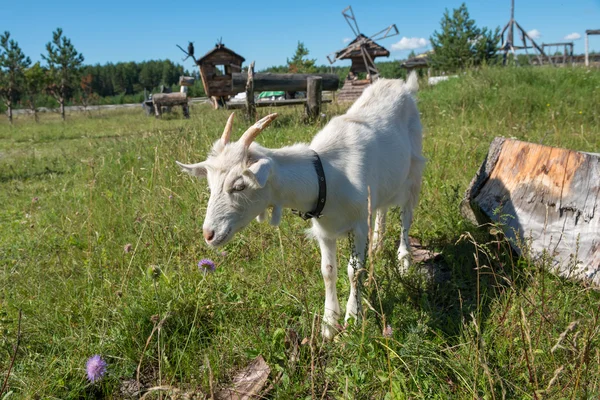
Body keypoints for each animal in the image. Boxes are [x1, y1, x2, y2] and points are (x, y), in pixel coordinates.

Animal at [176, 72, 424, 340]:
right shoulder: (325, 230)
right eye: (210, 185)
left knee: (406, 217)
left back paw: (404, 261)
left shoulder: (357, 226)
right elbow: (328, 270)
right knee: (382, 209)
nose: (208, 234)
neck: (327, 176)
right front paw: (328, 323)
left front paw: (352, 319)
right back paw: (377, 244)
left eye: (239, 185)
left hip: (414, 173)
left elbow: (354, 271)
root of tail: (402, 84)